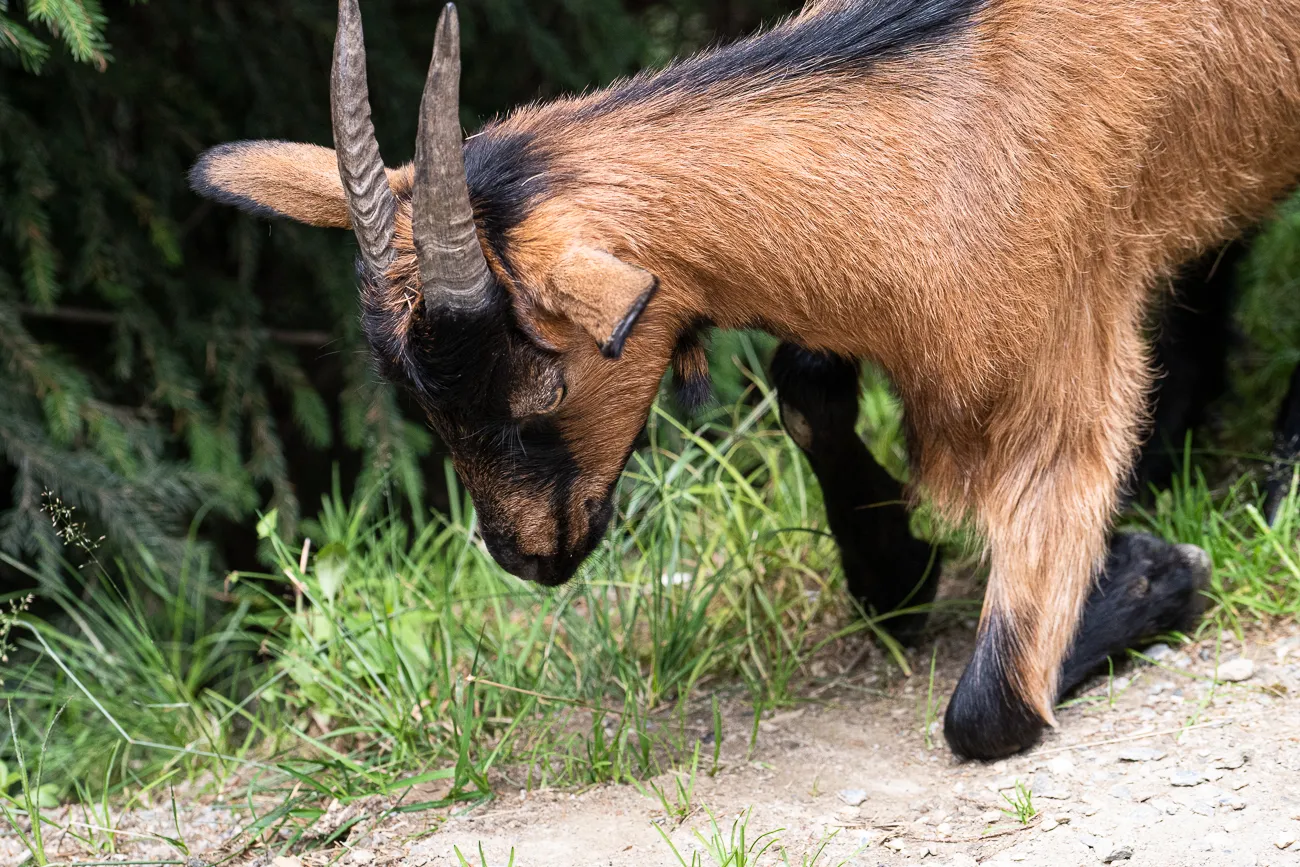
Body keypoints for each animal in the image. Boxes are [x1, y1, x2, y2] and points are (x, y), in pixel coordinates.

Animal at [189, 0, 1300, 759]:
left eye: (540, 392)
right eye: (421, 404)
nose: (524, 556)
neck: (951, 125)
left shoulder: (1056, 372)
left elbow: (988, 710)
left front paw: (1156, 569)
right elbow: (804, 387)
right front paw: (894, 567)